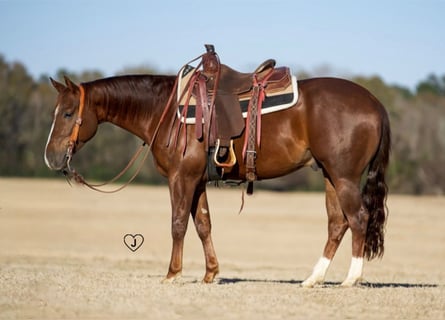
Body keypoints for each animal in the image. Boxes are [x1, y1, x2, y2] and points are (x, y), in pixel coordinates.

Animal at [43, 71, 386, 286]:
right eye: (56, 112)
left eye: (69, 113)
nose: (51, 157)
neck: (165, 111)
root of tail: (374, 102)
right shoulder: (197, 181)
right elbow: (203, 224)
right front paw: (210, 273)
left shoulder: (181, 178)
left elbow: (178, 224)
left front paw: (173, 273)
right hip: (330, 176)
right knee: (337, 223)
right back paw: (314, 278)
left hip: (344, 177)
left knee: (358, 218)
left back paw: (351, 279)